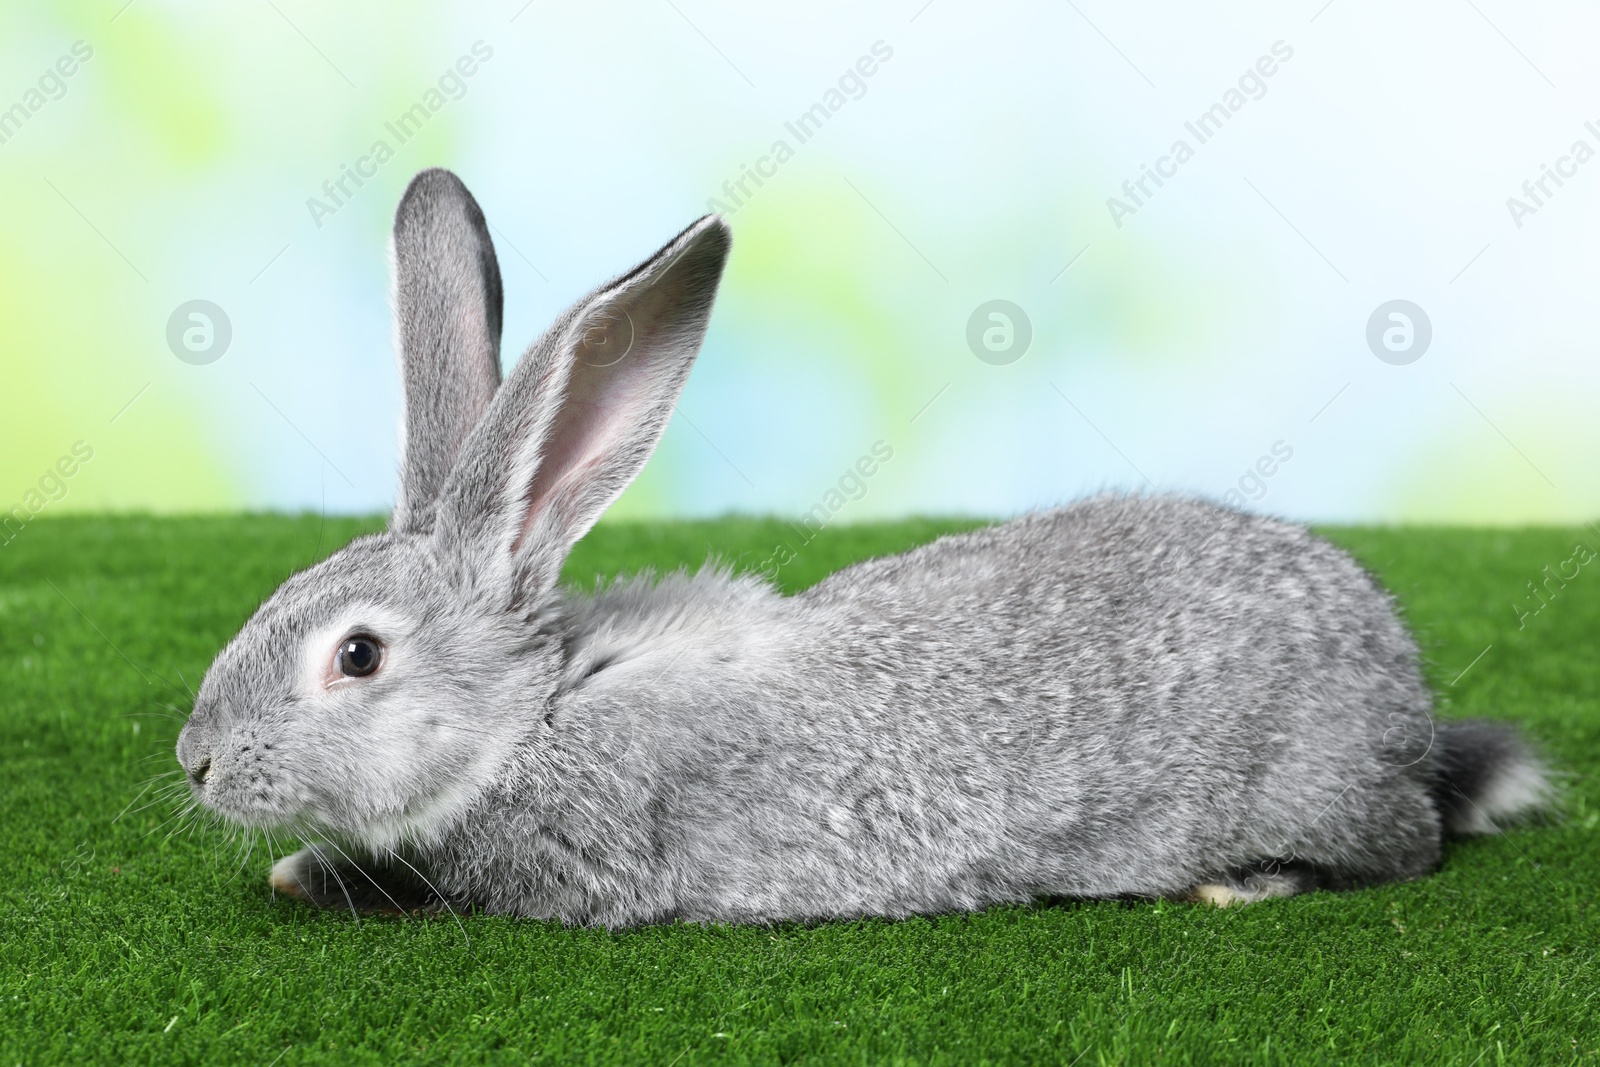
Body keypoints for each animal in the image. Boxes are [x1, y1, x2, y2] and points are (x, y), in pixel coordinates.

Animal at [175, 167, 1548, 927]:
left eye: (357, 656)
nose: (195, 761)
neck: (535, 711)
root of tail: (1407, 714)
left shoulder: (570, 866)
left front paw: (311, 873)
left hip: (1316, 796)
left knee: (1403, 852)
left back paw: (1244, 883)